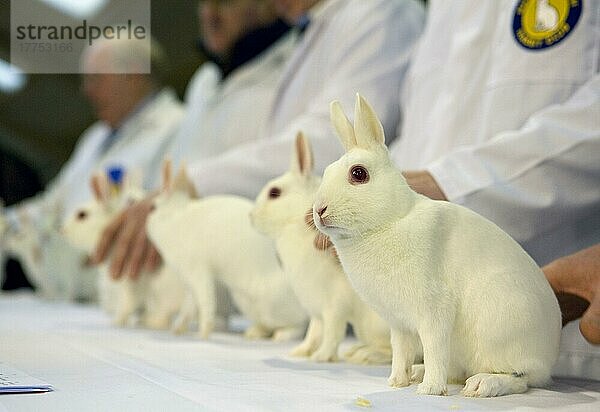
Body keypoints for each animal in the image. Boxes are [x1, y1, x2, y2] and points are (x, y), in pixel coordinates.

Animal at [62, 172, 185, 330]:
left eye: (82, 215)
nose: (62, 230)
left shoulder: (126, 283)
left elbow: (125, 306)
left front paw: (116, 323)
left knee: (162, 316)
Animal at [144, 163, 304, 340]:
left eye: (151, 207)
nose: (144, 223)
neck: (174, 216)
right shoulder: (191, 285)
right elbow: (189, 308)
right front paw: (178, 330)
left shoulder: (199, 273)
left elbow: (206, 304)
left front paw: (202, 335)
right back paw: (254, 332)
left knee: (298, 326)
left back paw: (281, 335)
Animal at [252, 133, 396, 364]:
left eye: (275, 193)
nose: (251, 216)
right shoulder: (316, 311)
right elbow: (314, 333)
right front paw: (300, 353)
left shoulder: (334, 308)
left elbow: (331, 334)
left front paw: (321, 357)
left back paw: (365, 355)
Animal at [314, 95, 564, 398]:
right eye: (327, 172)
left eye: (358, 174)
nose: (318, 210)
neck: (390, 220)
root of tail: (549, 356)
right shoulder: (399, 323)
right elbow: (401, 352)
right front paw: (396, 382)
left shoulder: (434, 310)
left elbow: (433, 348)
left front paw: (430, 390)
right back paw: (418, 373)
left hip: (506, 331)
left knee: (520, 378)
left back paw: (480, 385)